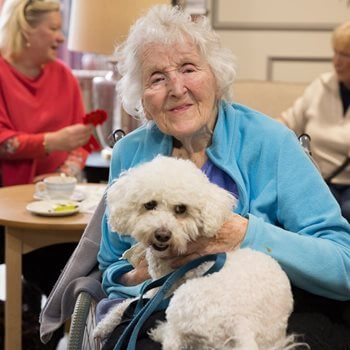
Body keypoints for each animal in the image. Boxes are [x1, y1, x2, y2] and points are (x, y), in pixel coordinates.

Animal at [93, 157, 304, 350]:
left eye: (181, 209)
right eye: (150, 204)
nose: (162, 235)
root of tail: (243, 324)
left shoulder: (161, 290)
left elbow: (127, 304)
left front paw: (102, 327)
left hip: (182, 301)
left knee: (171, 340)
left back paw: (158, 331)